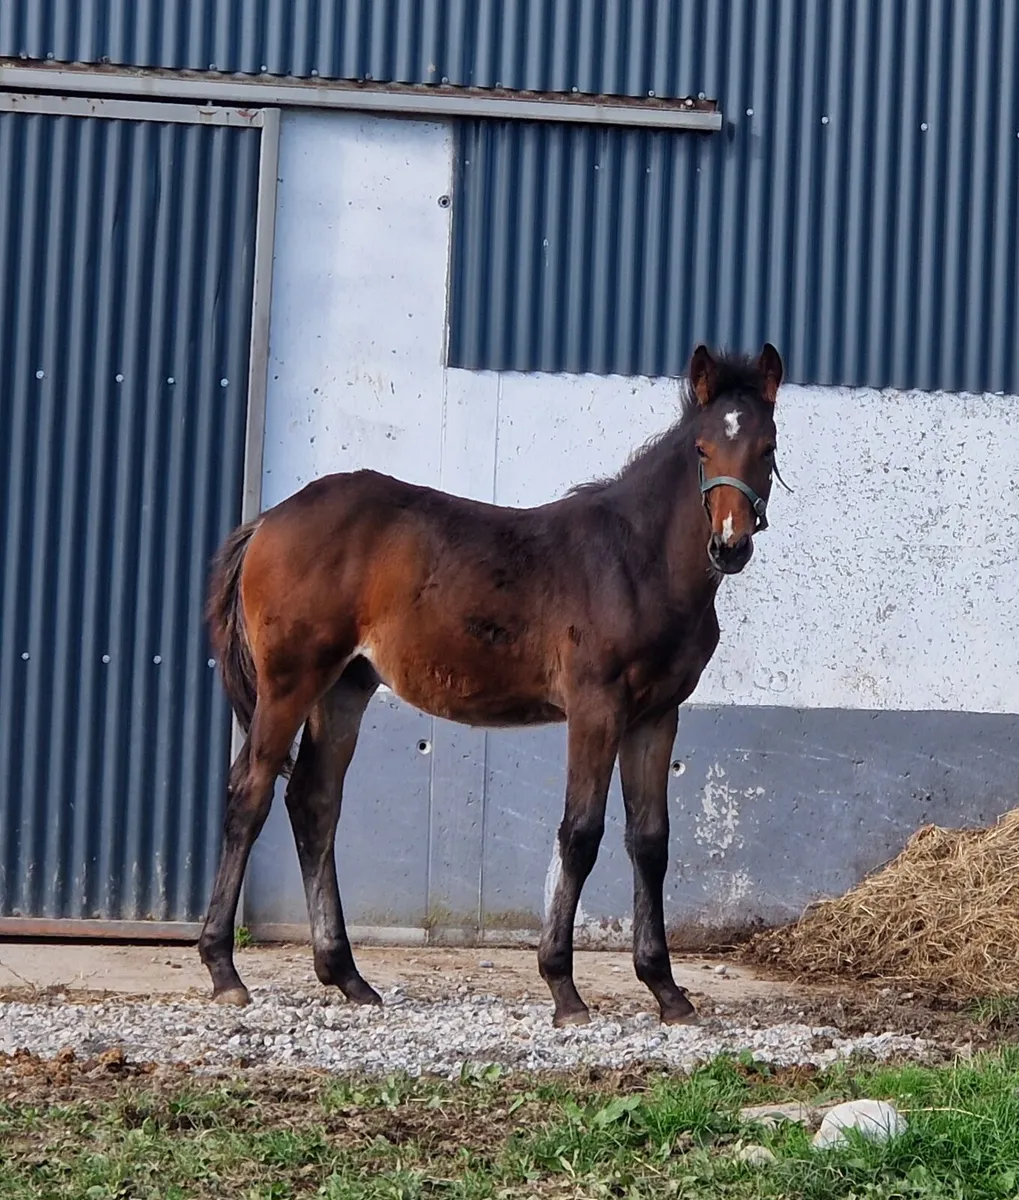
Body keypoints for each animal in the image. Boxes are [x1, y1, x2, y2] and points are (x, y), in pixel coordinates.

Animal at [200, 342, 785, 1027]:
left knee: (314, 804)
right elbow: (580, 833)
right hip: (290, 682)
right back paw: (224, 970)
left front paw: (666, 989)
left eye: (768, 447)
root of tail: (267, 521)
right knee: (249, 795)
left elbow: (650, 840)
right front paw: (563, 989)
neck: (635, 561)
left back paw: (347, 975)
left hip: (342, 687)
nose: (730, 546)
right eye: (701, 448)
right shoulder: (596, 707)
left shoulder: (656, 714)